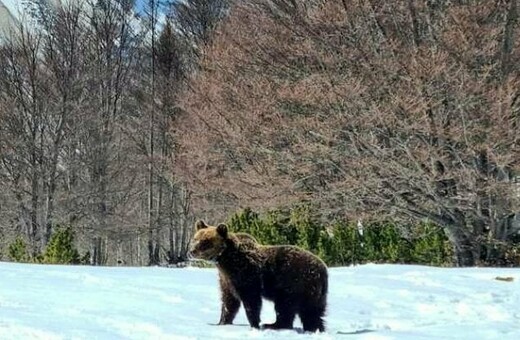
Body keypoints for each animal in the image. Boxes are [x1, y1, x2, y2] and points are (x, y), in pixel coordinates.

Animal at [189, 219, 328, 334]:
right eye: (195, 238)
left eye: (206, 241)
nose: (191, 251)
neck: (226, 260)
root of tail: (322, 269)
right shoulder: (226, 279)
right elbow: (229, 301)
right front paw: (221, 322)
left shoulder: (247, 275)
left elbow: (251, 300)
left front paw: (254, 324)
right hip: (313, 292)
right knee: (312, 311)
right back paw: (314, 328)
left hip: (293, 284)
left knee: (286, 306)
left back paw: (273, 325)